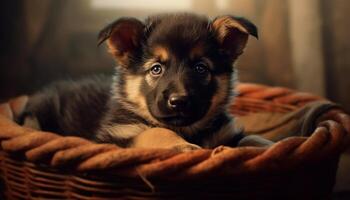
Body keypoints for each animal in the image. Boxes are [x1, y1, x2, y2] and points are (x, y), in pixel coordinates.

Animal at [18, 12, 262, 148]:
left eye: (201, 68)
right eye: (156, 69)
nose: (179, 101)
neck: (188, 131)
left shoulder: (226, 134)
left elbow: (251, 140)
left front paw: (266, 146)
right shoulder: (114, 137)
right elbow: (153, 131)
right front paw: (182, 146)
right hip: (35, 118)